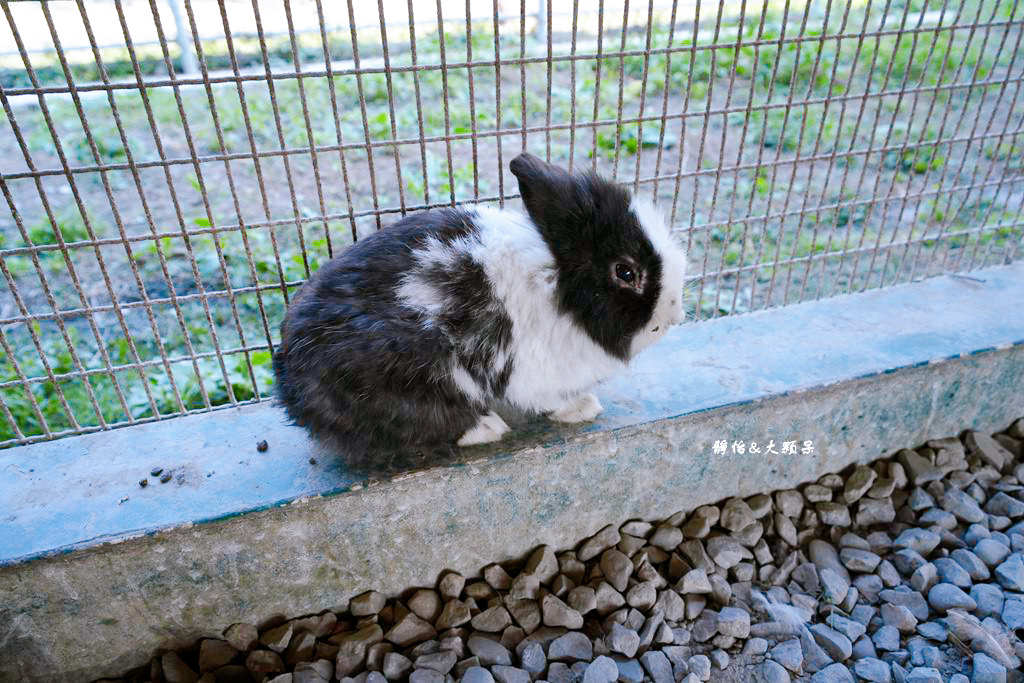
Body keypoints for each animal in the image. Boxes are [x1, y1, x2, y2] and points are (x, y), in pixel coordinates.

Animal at [272, 153, 688, 464]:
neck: (556, 283)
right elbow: (547, 399)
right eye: (626, 271)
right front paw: (583, 408)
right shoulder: (532, 371)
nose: (675, 316)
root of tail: (290, 384)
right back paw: (487, 427)